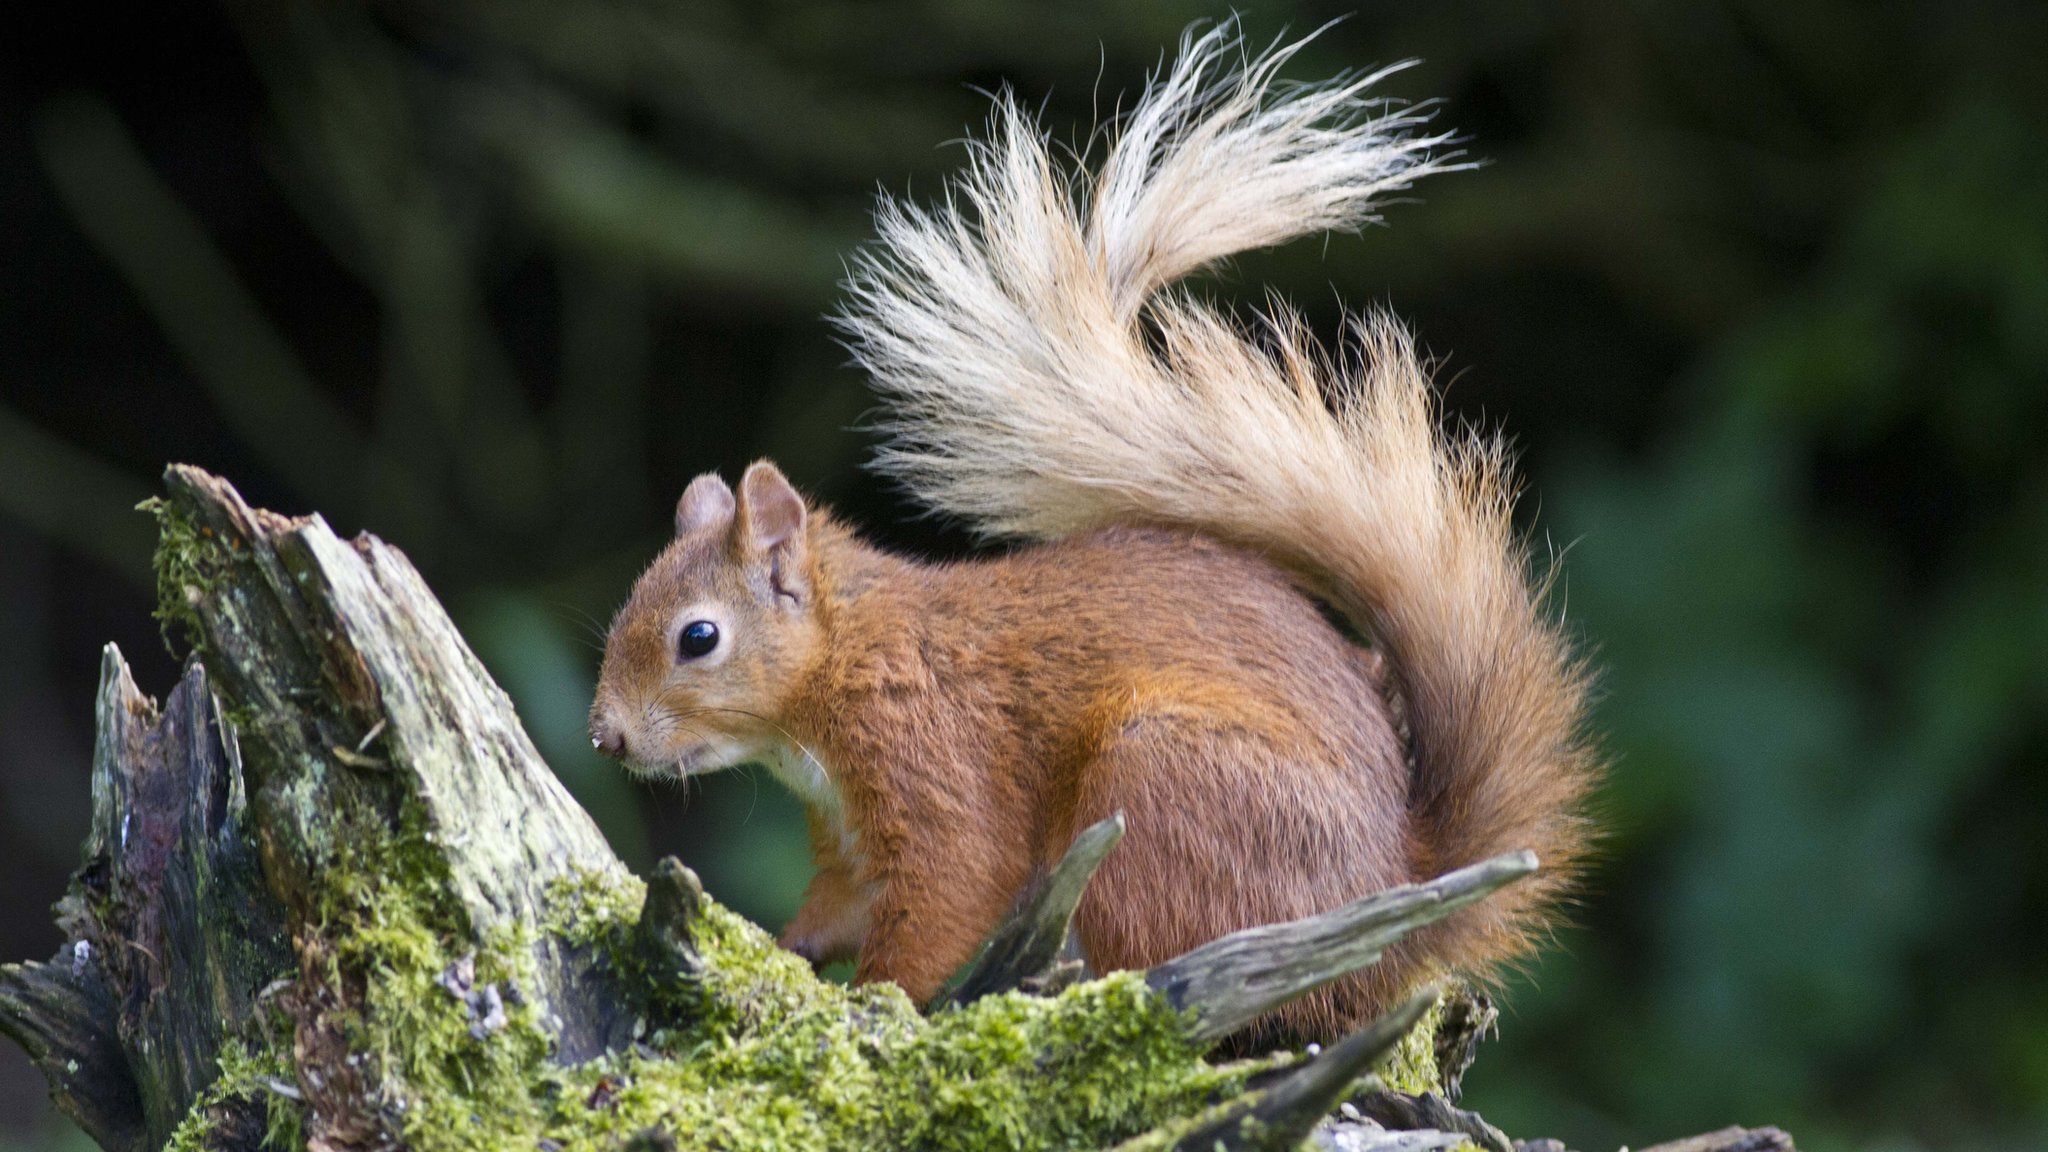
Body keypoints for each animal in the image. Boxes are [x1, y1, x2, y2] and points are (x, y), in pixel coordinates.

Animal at [593, 29, 1597, 1041]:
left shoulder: (936, 759)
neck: (844, 664)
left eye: (698, 637)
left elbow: (947, 896)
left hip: (1161, 792)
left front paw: (883, 1008)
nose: (605, 737)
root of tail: (1396, 909)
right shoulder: (848, 837)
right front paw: (782, 949)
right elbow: (839, 907)